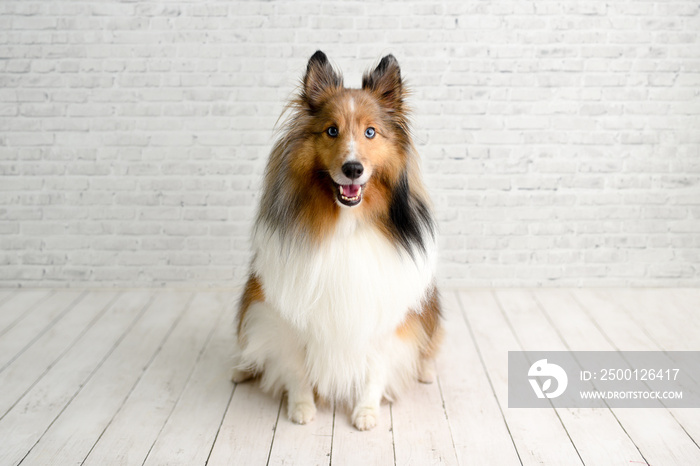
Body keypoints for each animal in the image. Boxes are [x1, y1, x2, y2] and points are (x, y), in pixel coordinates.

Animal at [234, 50, 442, 430]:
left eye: (370, 132)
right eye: (332, 131)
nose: (353, 169)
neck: (346, 224)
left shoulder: (383, 315)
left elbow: (376, 369)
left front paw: (366, 411)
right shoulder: (286, 313)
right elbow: (295, 367)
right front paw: (302, 407)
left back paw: (425, 371)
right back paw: (241, 369)